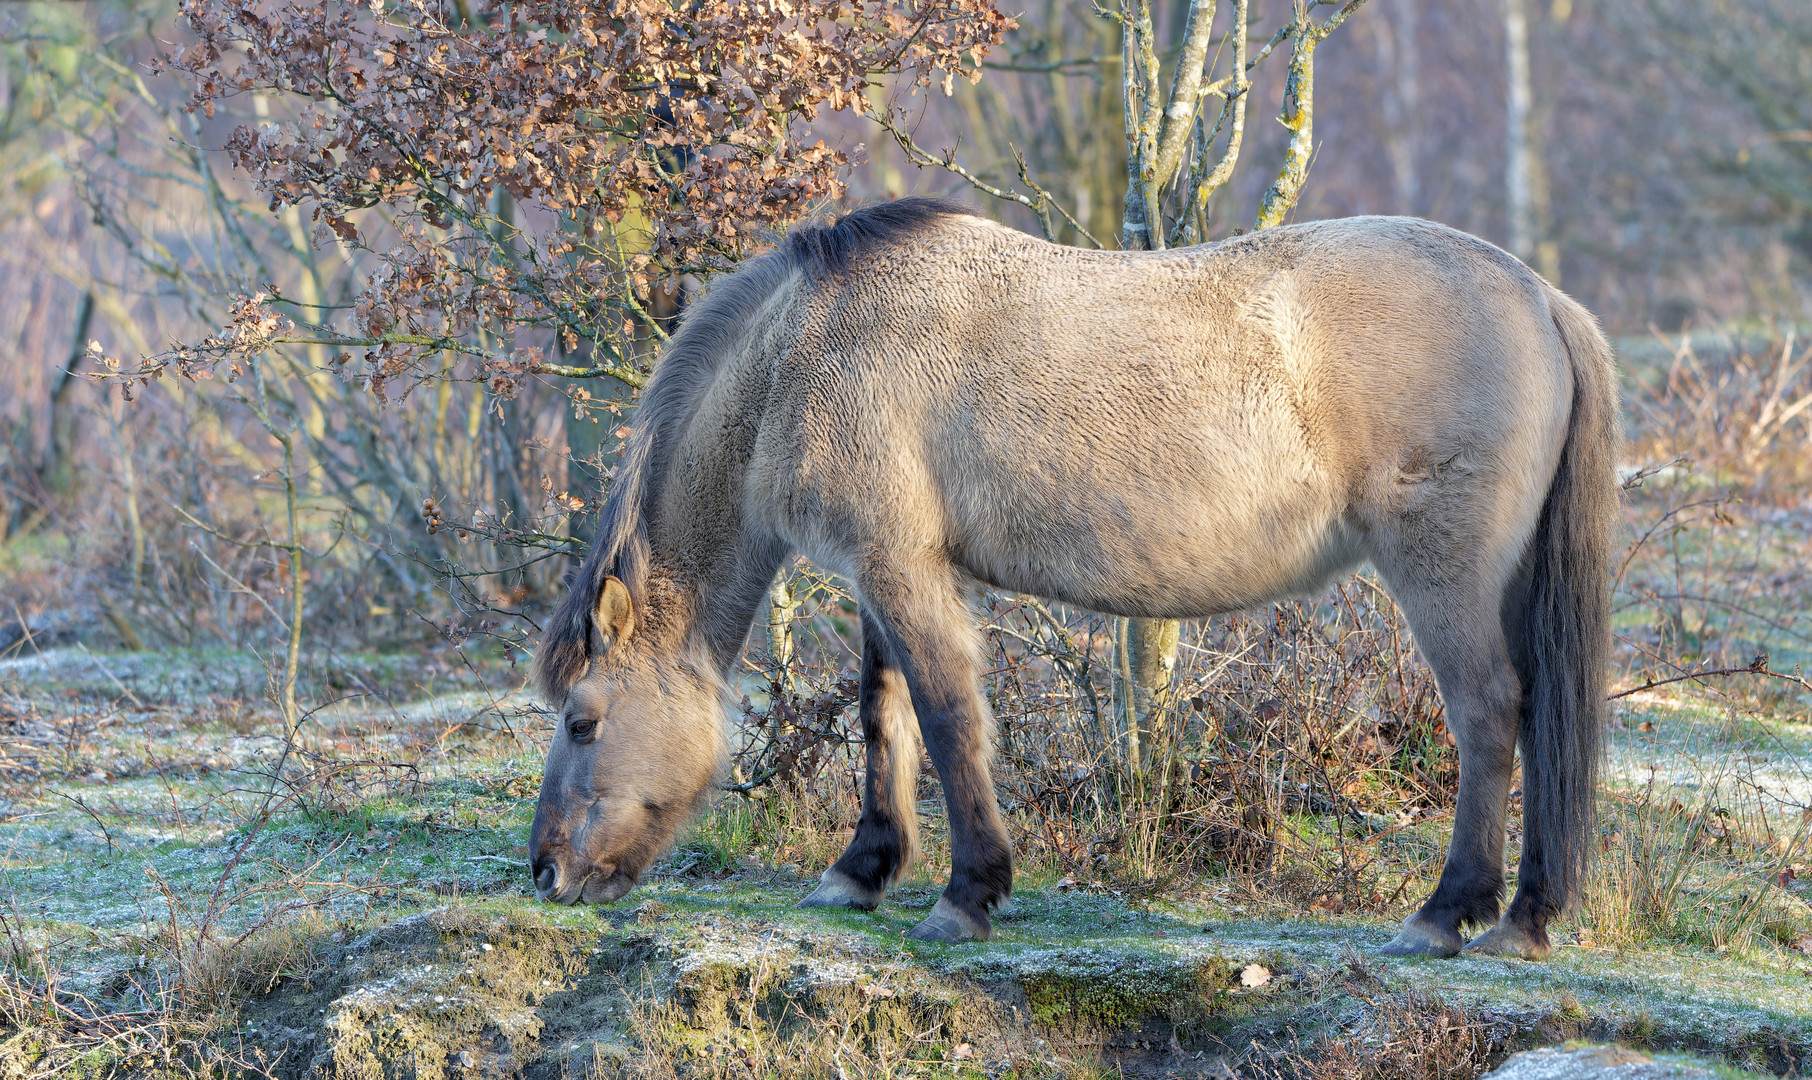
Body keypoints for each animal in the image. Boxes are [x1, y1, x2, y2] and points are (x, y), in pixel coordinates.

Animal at [525, 198, 1616, 956]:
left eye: (583, 721)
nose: (544, 872)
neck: (807, 349)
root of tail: (1537, 295)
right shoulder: (889, 570)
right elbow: (887, 715)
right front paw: (863, 868)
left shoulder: (897, 568)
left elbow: (948, 717)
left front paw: (967, 895)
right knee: (1532, 717)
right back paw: (1525, 915)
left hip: (1445, 575)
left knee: (1489, 715)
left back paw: (1448, 913)